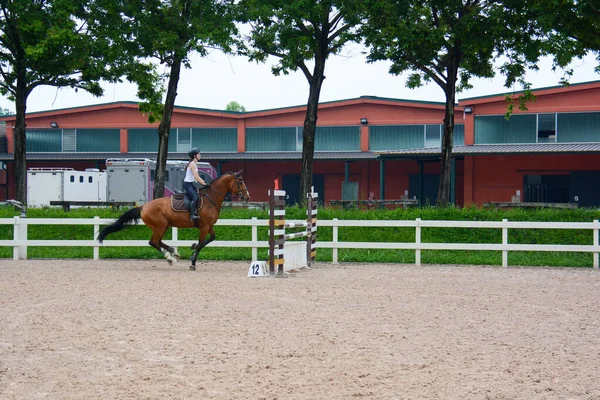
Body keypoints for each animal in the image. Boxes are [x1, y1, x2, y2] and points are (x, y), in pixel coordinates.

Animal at [96, 170, 251, 270]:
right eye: (240, 182)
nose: (247, 197)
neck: (210, 199)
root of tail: (143, 206)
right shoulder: (204, 227)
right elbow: (201, 244)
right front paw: (193, 262)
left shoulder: (209, 226)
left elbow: (210, 239)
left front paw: (192, 248)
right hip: (160, 226)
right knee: (153, 242)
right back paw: (170, 257)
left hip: (164, 226)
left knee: (157, 241)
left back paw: (173, 253)